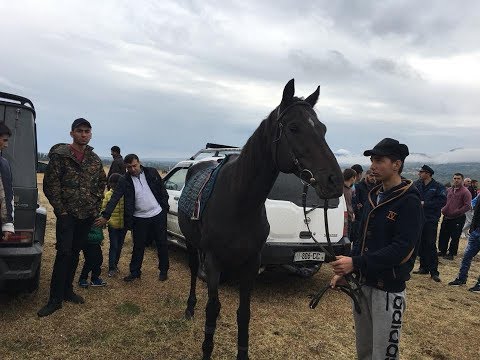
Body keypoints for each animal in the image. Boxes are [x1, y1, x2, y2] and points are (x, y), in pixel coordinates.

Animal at [178, 79, 344, 360]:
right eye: (293, 127)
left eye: (322, 129)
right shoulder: (213, 260)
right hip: (191, 243)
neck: (239, 202)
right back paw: (190, 308)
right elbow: (213, 309)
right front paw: (207, 350)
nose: (335, 181)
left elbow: (244, 313)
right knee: (192, 271)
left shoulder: (251, 262)